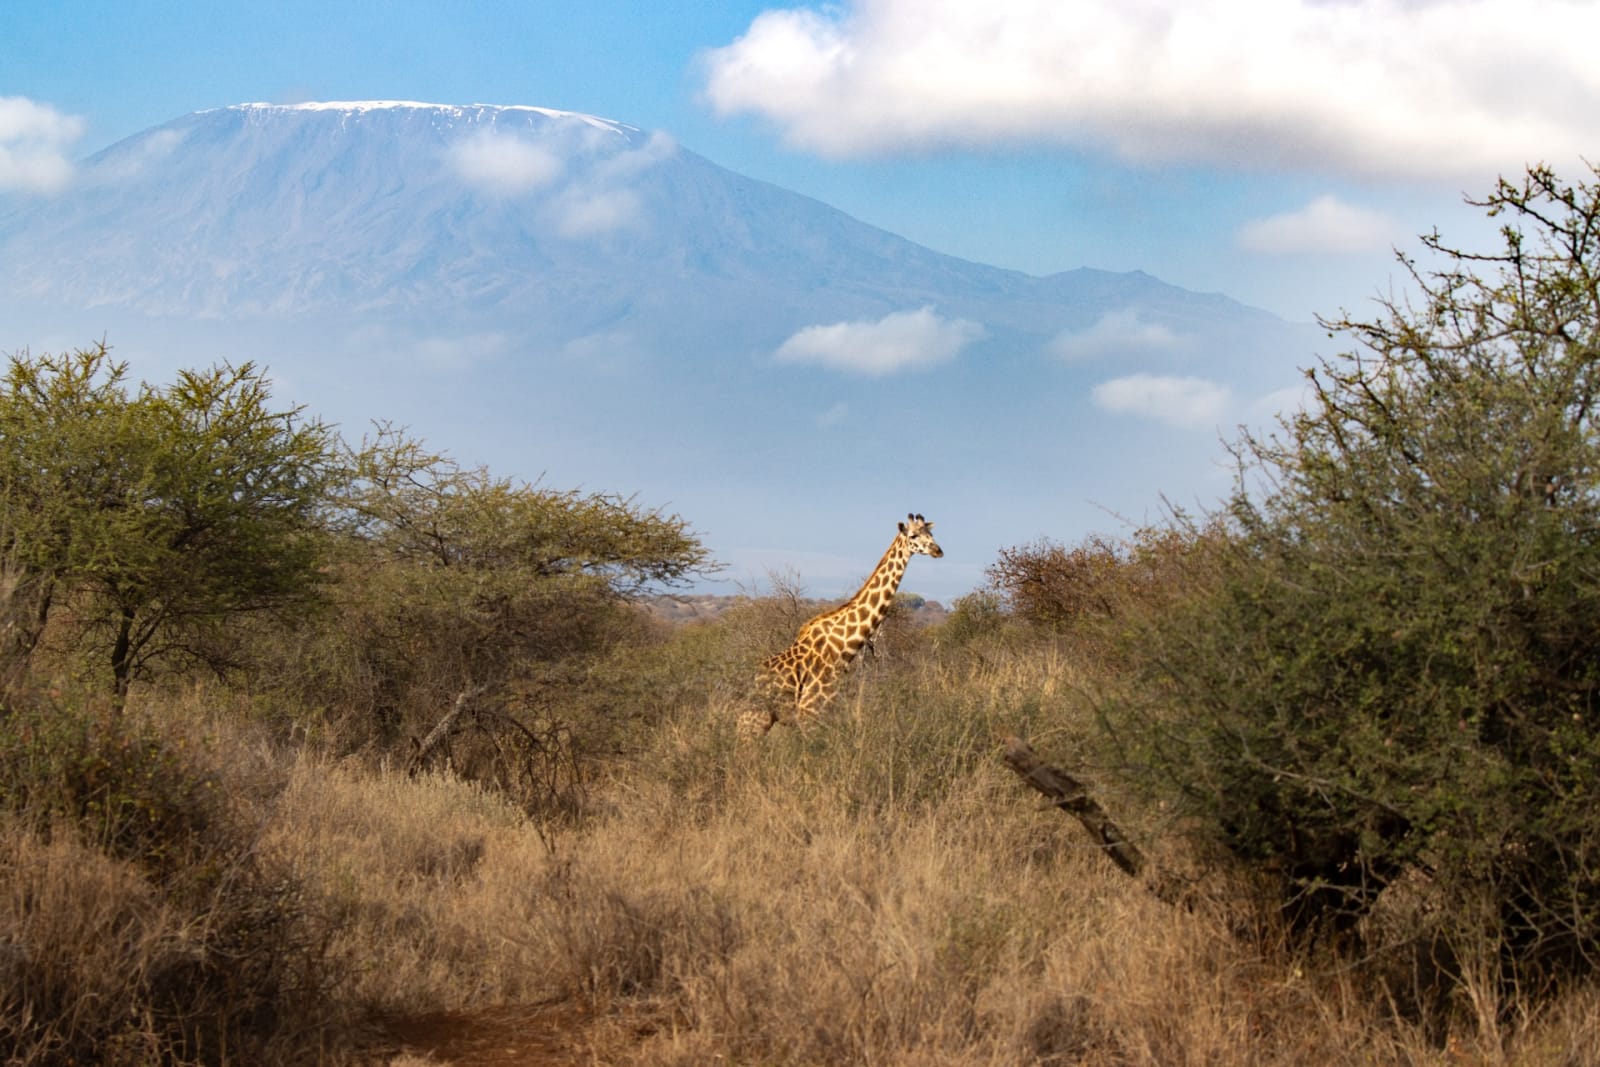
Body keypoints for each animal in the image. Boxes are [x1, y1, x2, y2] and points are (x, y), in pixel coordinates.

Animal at [739, 513, 942, 738]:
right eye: (913, 535)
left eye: (931, 533)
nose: (937, 550)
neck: (842, 649)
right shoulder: (810, 714)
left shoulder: (828, 712)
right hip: (754, 722)